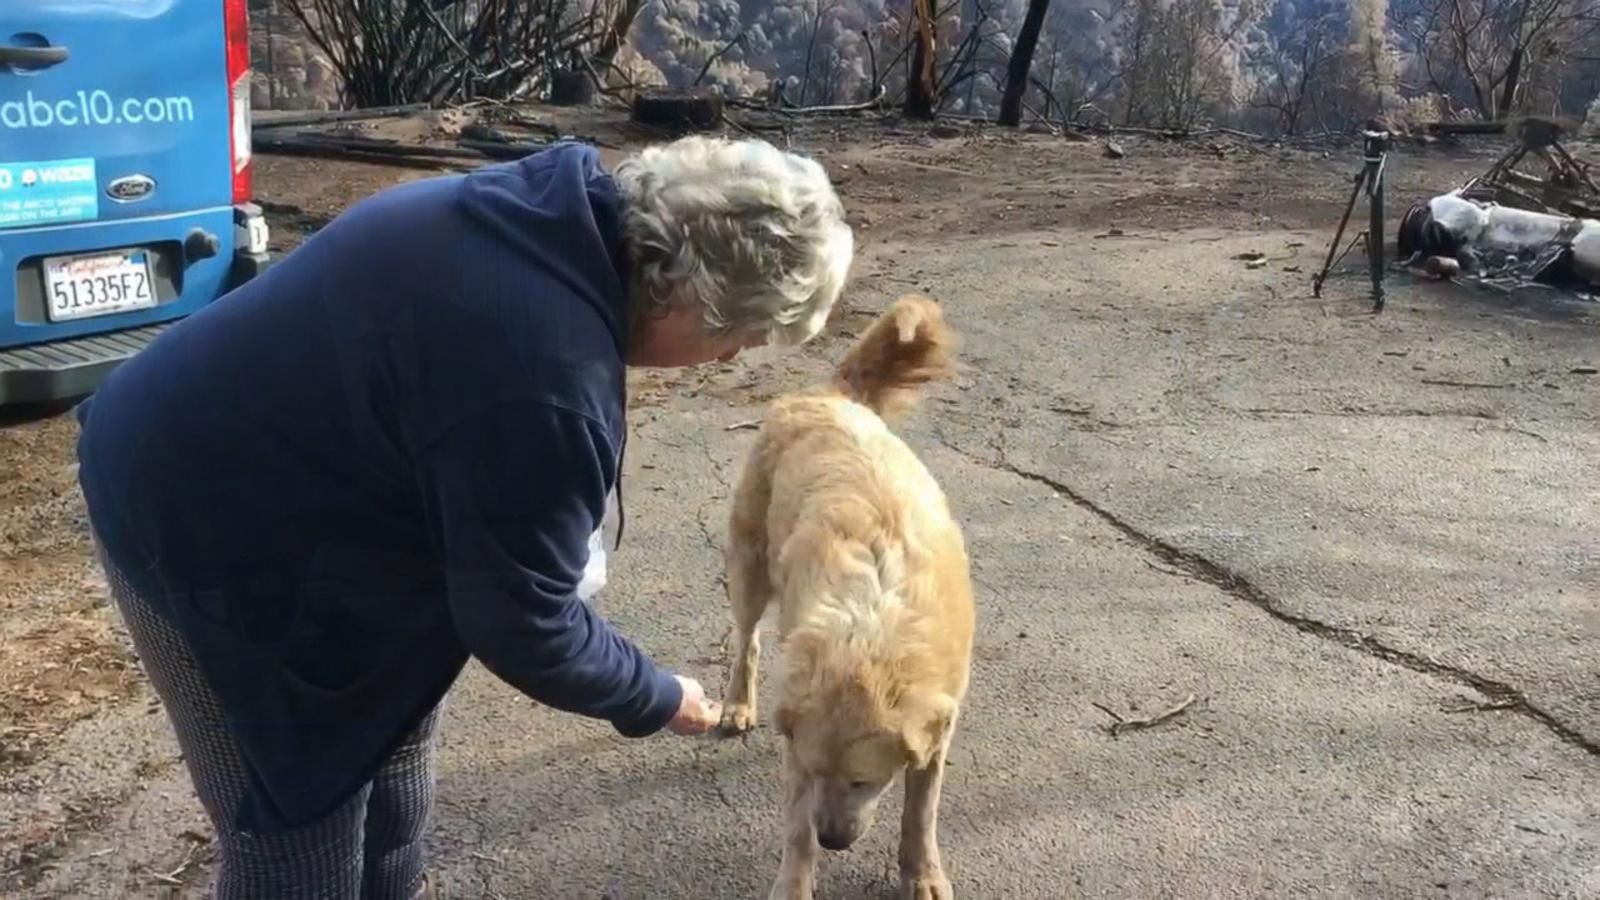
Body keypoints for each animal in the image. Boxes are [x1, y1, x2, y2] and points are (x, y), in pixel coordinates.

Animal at [723, 296, 972, 896]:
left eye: (864, 781)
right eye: (819, 773)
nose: (834, 840)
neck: (872, 633)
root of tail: (828, 397)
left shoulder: (939, 729)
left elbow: (920, 811)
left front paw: (921, 872)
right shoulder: (799, 747)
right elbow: (795, 827)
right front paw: (794, 883)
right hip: (749, 569)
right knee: (746, 641)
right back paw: (738, 702)